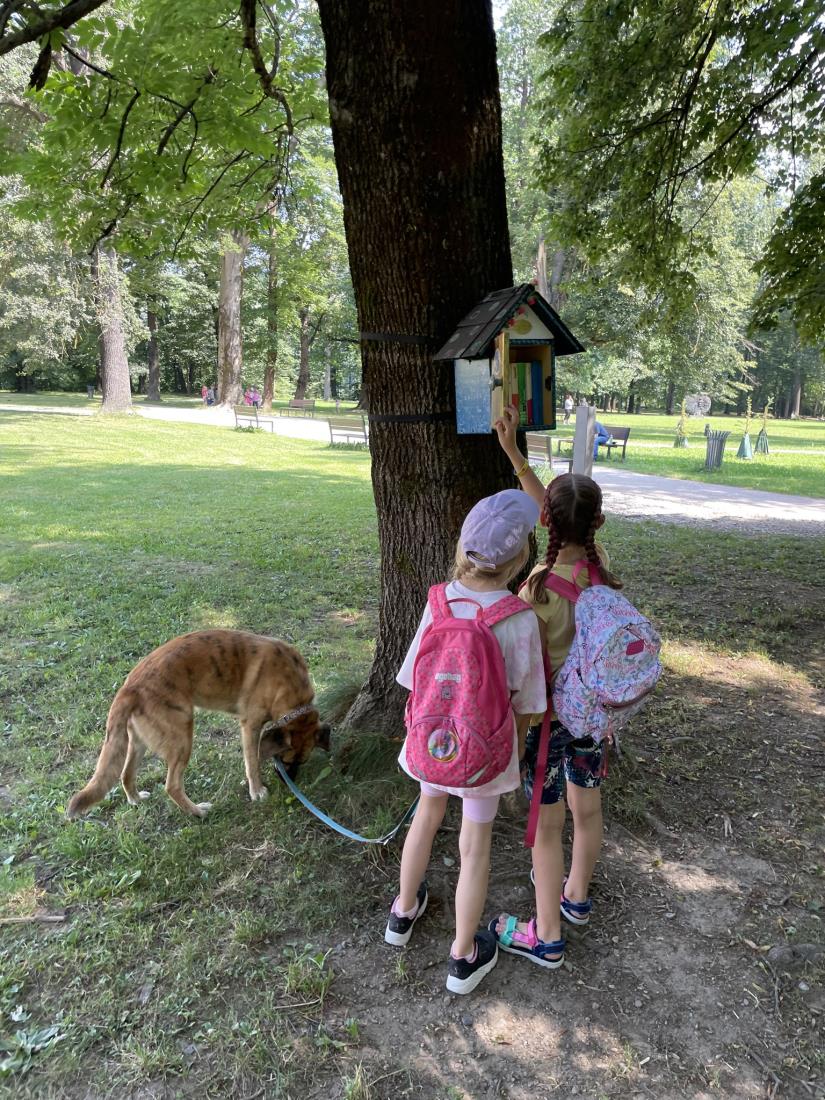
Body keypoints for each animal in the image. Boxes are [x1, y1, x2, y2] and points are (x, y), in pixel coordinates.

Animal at [66, 630, 331, 819]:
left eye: (301, 762)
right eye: (286, 761)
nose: (289, 785)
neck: (290, 685)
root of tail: (129, 687)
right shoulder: (250, 726)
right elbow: (252, 761)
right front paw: (256, 790)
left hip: (137, 742)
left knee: (125, 773)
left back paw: (136, 799)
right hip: (182, 737)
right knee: (171, 786)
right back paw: (197, 812)